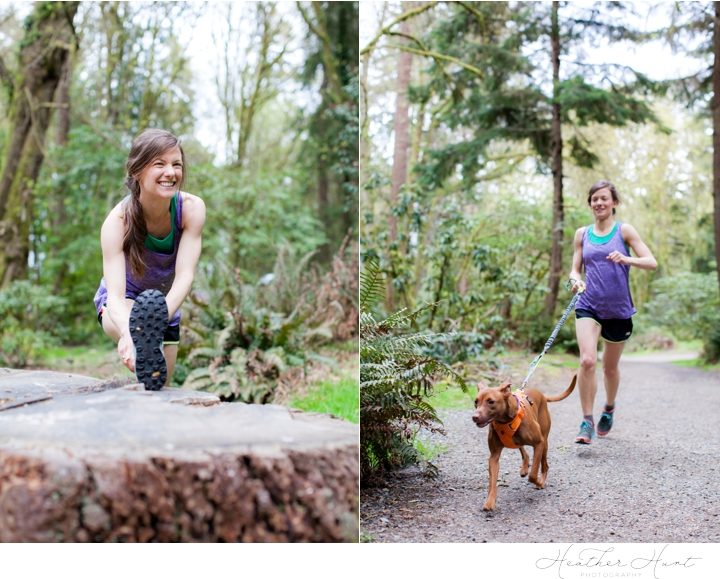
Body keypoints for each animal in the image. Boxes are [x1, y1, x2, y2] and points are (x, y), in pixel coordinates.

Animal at [470, 374, 576, 510]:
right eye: (476, 402)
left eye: (491, 401)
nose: (475, 417)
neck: (505, 421)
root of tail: (542, 395)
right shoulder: (494, 456)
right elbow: (492, 481)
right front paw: (490, 502)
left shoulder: (539, 443)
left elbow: (533, 475)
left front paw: (538, 482)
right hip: (519, 441)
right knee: (523, 450)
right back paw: (525, 468)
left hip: (545, 443)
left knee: (545, 465)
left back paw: (541, 480)